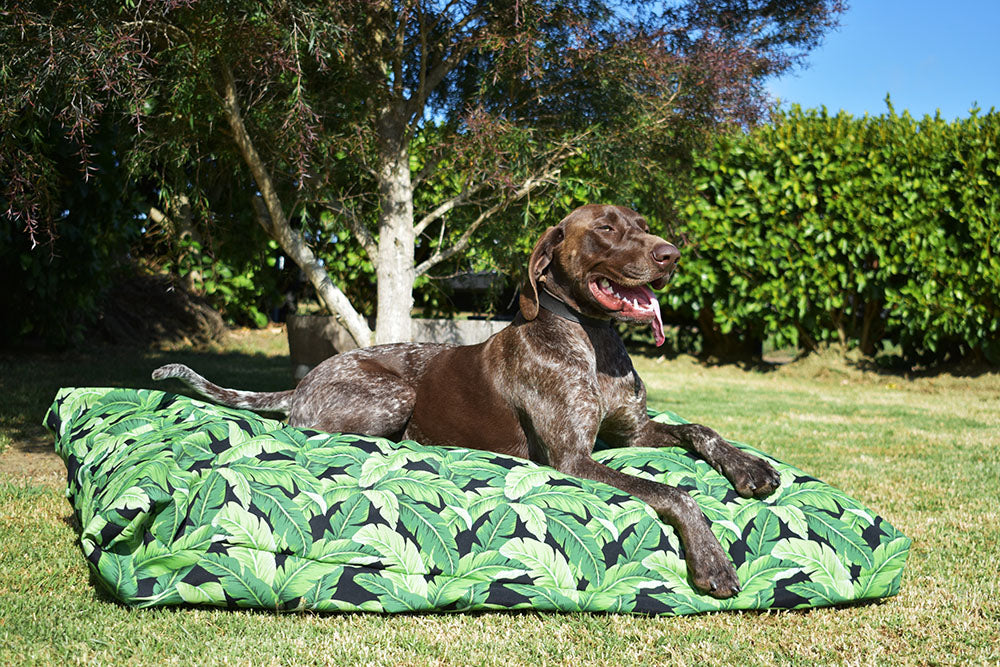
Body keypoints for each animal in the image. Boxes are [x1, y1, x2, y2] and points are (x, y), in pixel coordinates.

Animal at [156, 205, 780, 600]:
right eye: (605, 228)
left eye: (645, 227)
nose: (671, 253)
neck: (592, 338)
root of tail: (304, 381)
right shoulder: (574, 459)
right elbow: (672, 491)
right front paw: (712, 557)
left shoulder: (632, 433)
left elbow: (701, 430)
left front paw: (749, 466)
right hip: (395, 392)